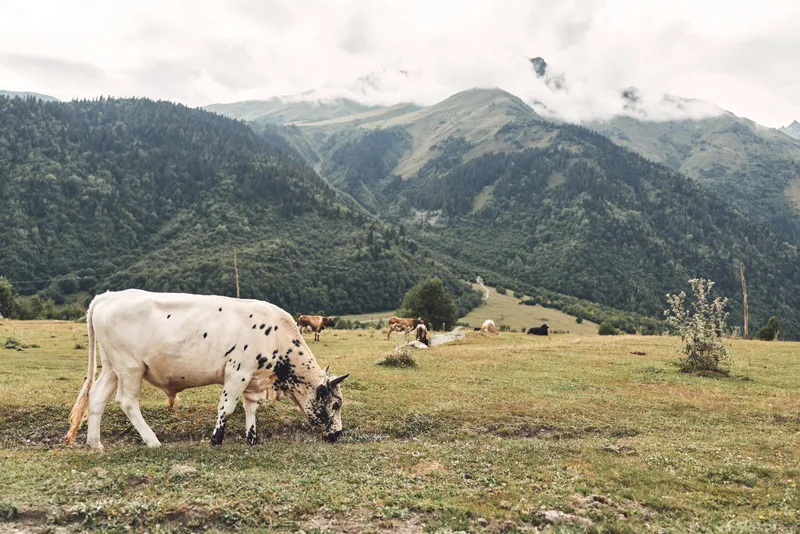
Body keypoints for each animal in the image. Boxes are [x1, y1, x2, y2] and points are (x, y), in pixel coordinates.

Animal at [64, 289, 349, 449]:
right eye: (335, 405)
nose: (338, 433)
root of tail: (108, 296)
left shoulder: (253, 380)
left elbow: (250, 409)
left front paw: (252, 438)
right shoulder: (238, 372)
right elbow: (227, 408)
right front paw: (216, 440)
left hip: (112, 367)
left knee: (97, 397)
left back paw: (95, 443)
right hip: (130, 367)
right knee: (127, 401)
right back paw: (153, 441)